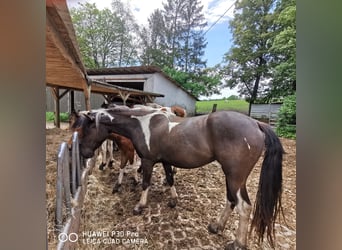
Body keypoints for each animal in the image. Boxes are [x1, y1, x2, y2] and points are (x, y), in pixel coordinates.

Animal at [71, 105, 284, 250]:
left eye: (85, 129)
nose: (83, 153)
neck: (143, 124)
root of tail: (256, 123)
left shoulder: (148, 161)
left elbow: (145, 183)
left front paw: (140, 206)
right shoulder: (165, 161)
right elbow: (170, 179)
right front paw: (173, 200)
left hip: (235, 177)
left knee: (244, 207)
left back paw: (238, 243)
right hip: (231, 177)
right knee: (231, 200)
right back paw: (216, 226)